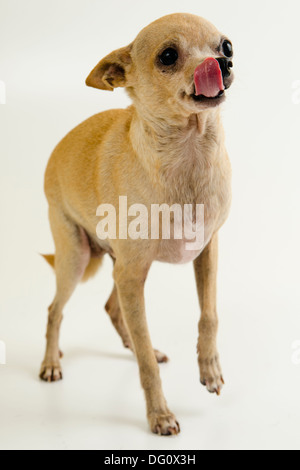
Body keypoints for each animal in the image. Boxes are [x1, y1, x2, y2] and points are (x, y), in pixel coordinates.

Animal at [40, 11, 234, 436]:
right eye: (168, 56)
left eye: (226, 46)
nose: (223, 63)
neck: (189, 152)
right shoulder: (132, 276)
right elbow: (145, 363)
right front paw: (159, 414)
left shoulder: (207, 251)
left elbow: (209, 315)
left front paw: (210, 369)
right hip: (77, 259)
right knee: (55, 309)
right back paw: (51, 362)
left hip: (121, 268)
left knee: (113, 308)